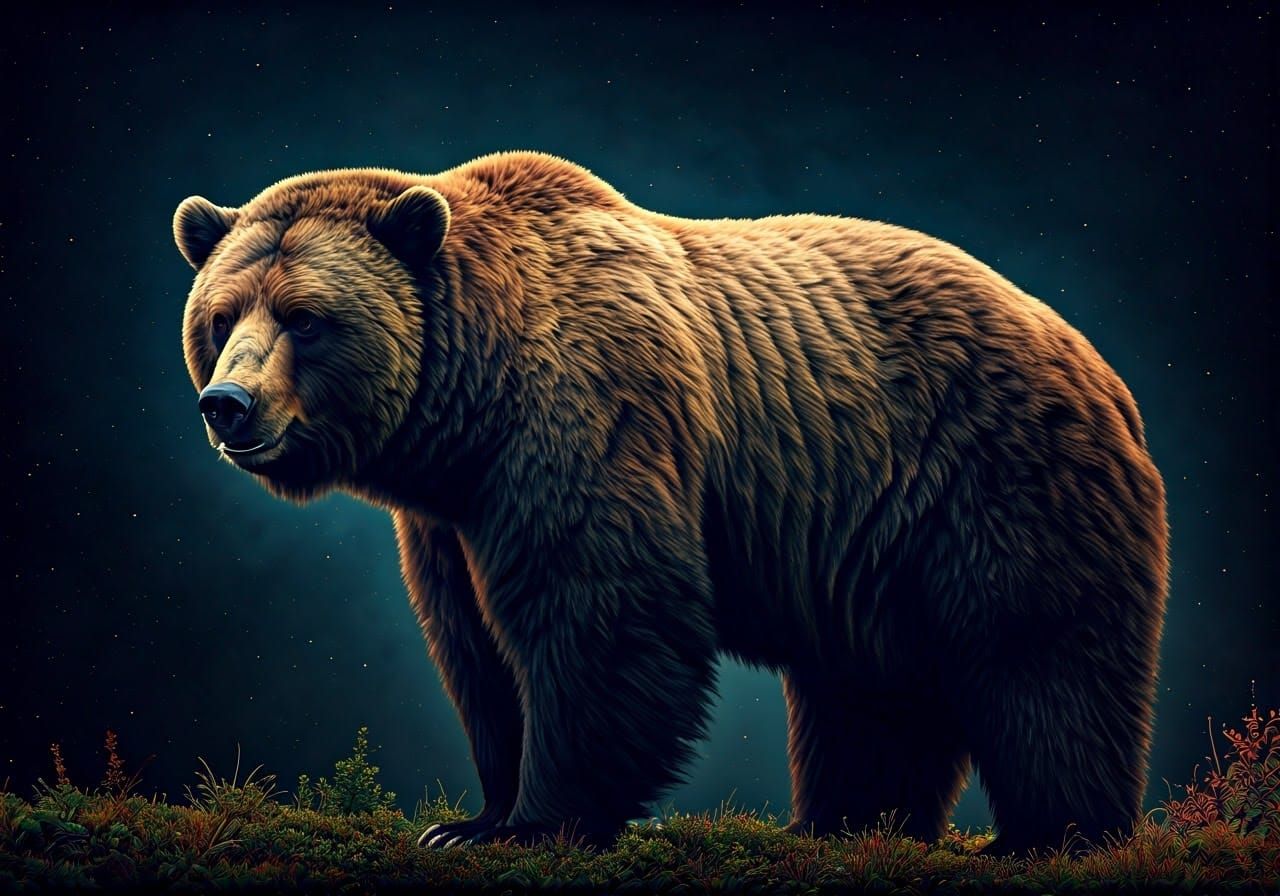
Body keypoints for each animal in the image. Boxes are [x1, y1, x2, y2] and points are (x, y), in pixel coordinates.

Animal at [173, 150, 1169, 854]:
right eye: (221, 316)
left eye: (305, 317)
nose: (229, 404)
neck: (469, 400)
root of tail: (1089, 353)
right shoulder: (451, 511)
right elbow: (475, 648)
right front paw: (470, 817)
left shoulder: (589, 412)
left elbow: (598, 610)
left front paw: (542, 820)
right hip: (872, 536)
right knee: (870, 693)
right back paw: (849, 821)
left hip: (994, 476)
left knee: (1038, 655)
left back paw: (1048, 836)